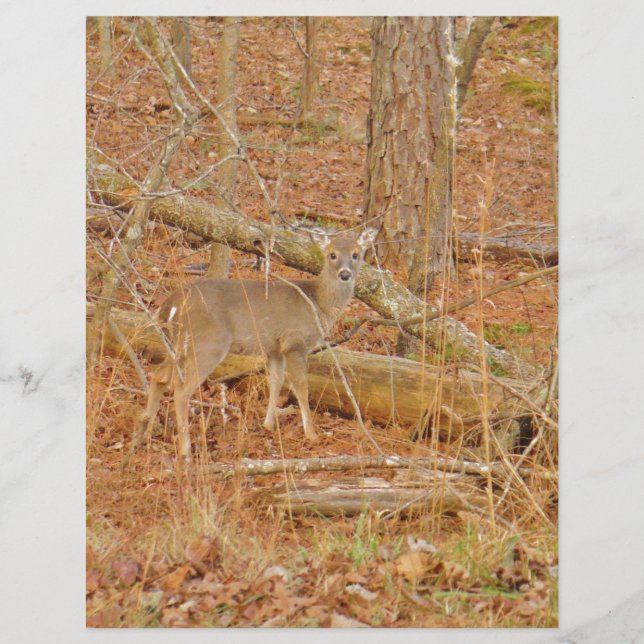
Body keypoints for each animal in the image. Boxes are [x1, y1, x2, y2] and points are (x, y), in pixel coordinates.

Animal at [128, 227, 378, 463]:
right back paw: (185, 452)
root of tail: (171, 303)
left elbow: (276, 381)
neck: (319, 304)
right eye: (332, 254)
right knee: (181, 389)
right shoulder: (294, 342)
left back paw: (144, 434)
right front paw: (312, 434)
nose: (345, 274)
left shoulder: (274, 348)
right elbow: (300, 386)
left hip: (178, 344)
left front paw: (268, 425)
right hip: (209, 342)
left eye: (356, 254)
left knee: (159, 376)